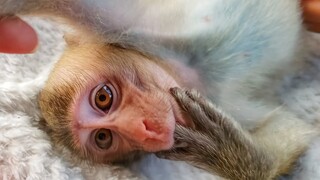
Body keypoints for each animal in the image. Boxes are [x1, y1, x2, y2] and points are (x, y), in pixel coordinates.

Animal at [0, 0, 318, 179]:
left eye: (102, 98)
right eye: (104, 138)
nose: (144, 130)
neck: (189, 76)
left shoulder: (130, 30)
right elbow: (291, 130)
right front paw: (226, 153)